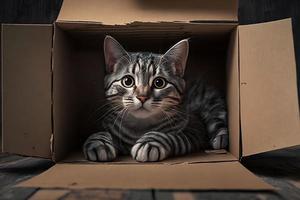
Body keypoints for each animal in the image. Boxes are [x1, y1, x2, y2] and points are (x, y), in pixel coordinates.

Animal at [82, 36, 227, 162]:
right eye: (127, 81)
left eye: (159, 83)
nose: (142, 96)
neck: (140, 127)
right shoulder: (106, 124)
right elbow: (100, 133)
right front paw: (97, 143)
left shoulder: (194, 128)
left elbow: (173, 136)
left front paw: (150, 141)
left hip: (212, 106)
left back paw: (220, 139)